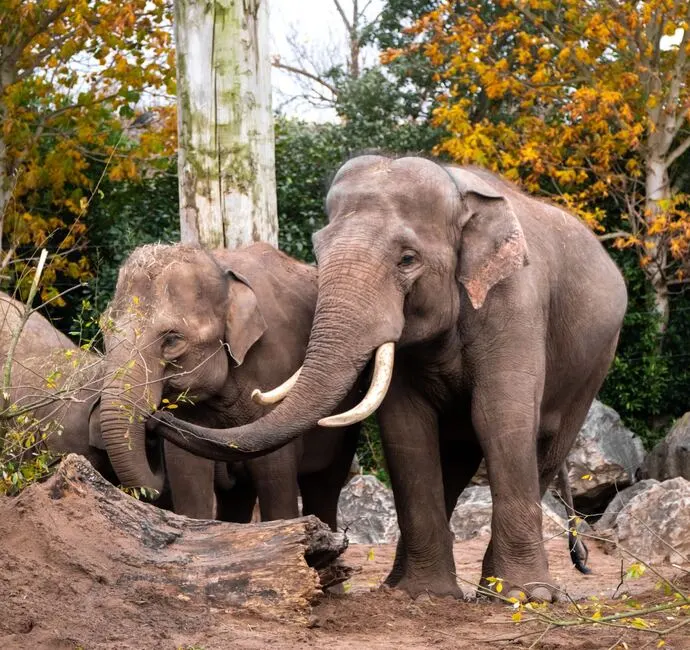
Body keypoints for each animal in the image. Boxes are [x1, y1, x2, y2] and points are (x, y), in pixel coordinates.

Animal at [99, 242, 360, 525]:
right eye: (104, 331)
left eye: (172, 340)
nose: (156, 420)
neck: (221, 268)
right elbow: (187, 471)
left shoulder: (274, 366)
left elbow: (276, 474)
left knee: (324, 485)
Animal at [150, 155, 626, 601]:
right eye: (318, 254)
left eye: (408, 259)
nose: (158, 415)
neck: (458, 195)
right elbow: (406, 428)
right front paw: (422, 595)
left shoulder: (514, 302)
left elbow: (500, 418)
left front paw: (526, 597)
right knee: (455, 458)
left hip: (595, 361)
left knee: (545, 449)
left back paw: (498, 589)